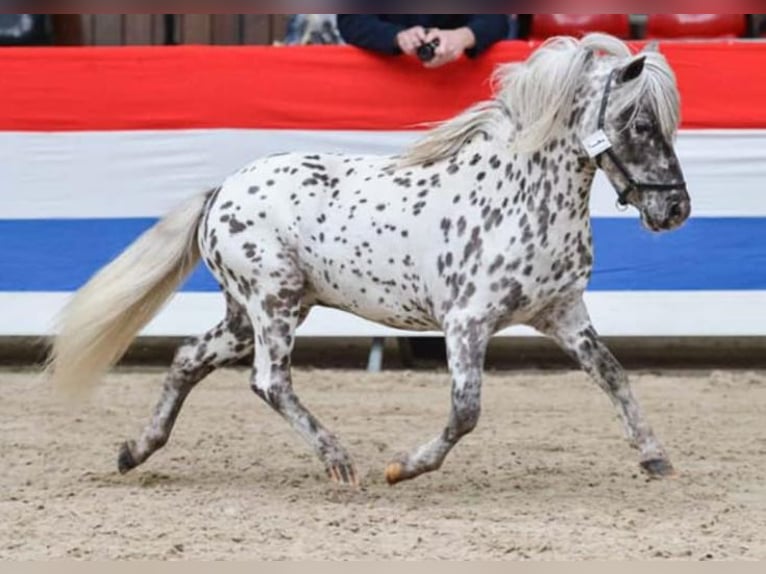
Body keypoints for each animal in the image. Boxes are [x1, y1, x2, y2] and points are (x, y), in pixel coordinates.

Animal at [49, 33, 696, 488]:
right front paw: (402, 468)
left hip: (250, 313)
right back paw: (340, 462)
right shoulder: (466, 323)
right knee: (269, 380)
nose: (676, 209)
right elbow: (466, 411)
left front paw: (656, 458)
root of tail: (221, 192)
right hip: (272, 300)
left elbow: (612, 374)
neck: (520, 195)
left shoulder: (562, 313)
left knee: (189, 359)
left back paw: (134, 452)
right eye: (641, 122)